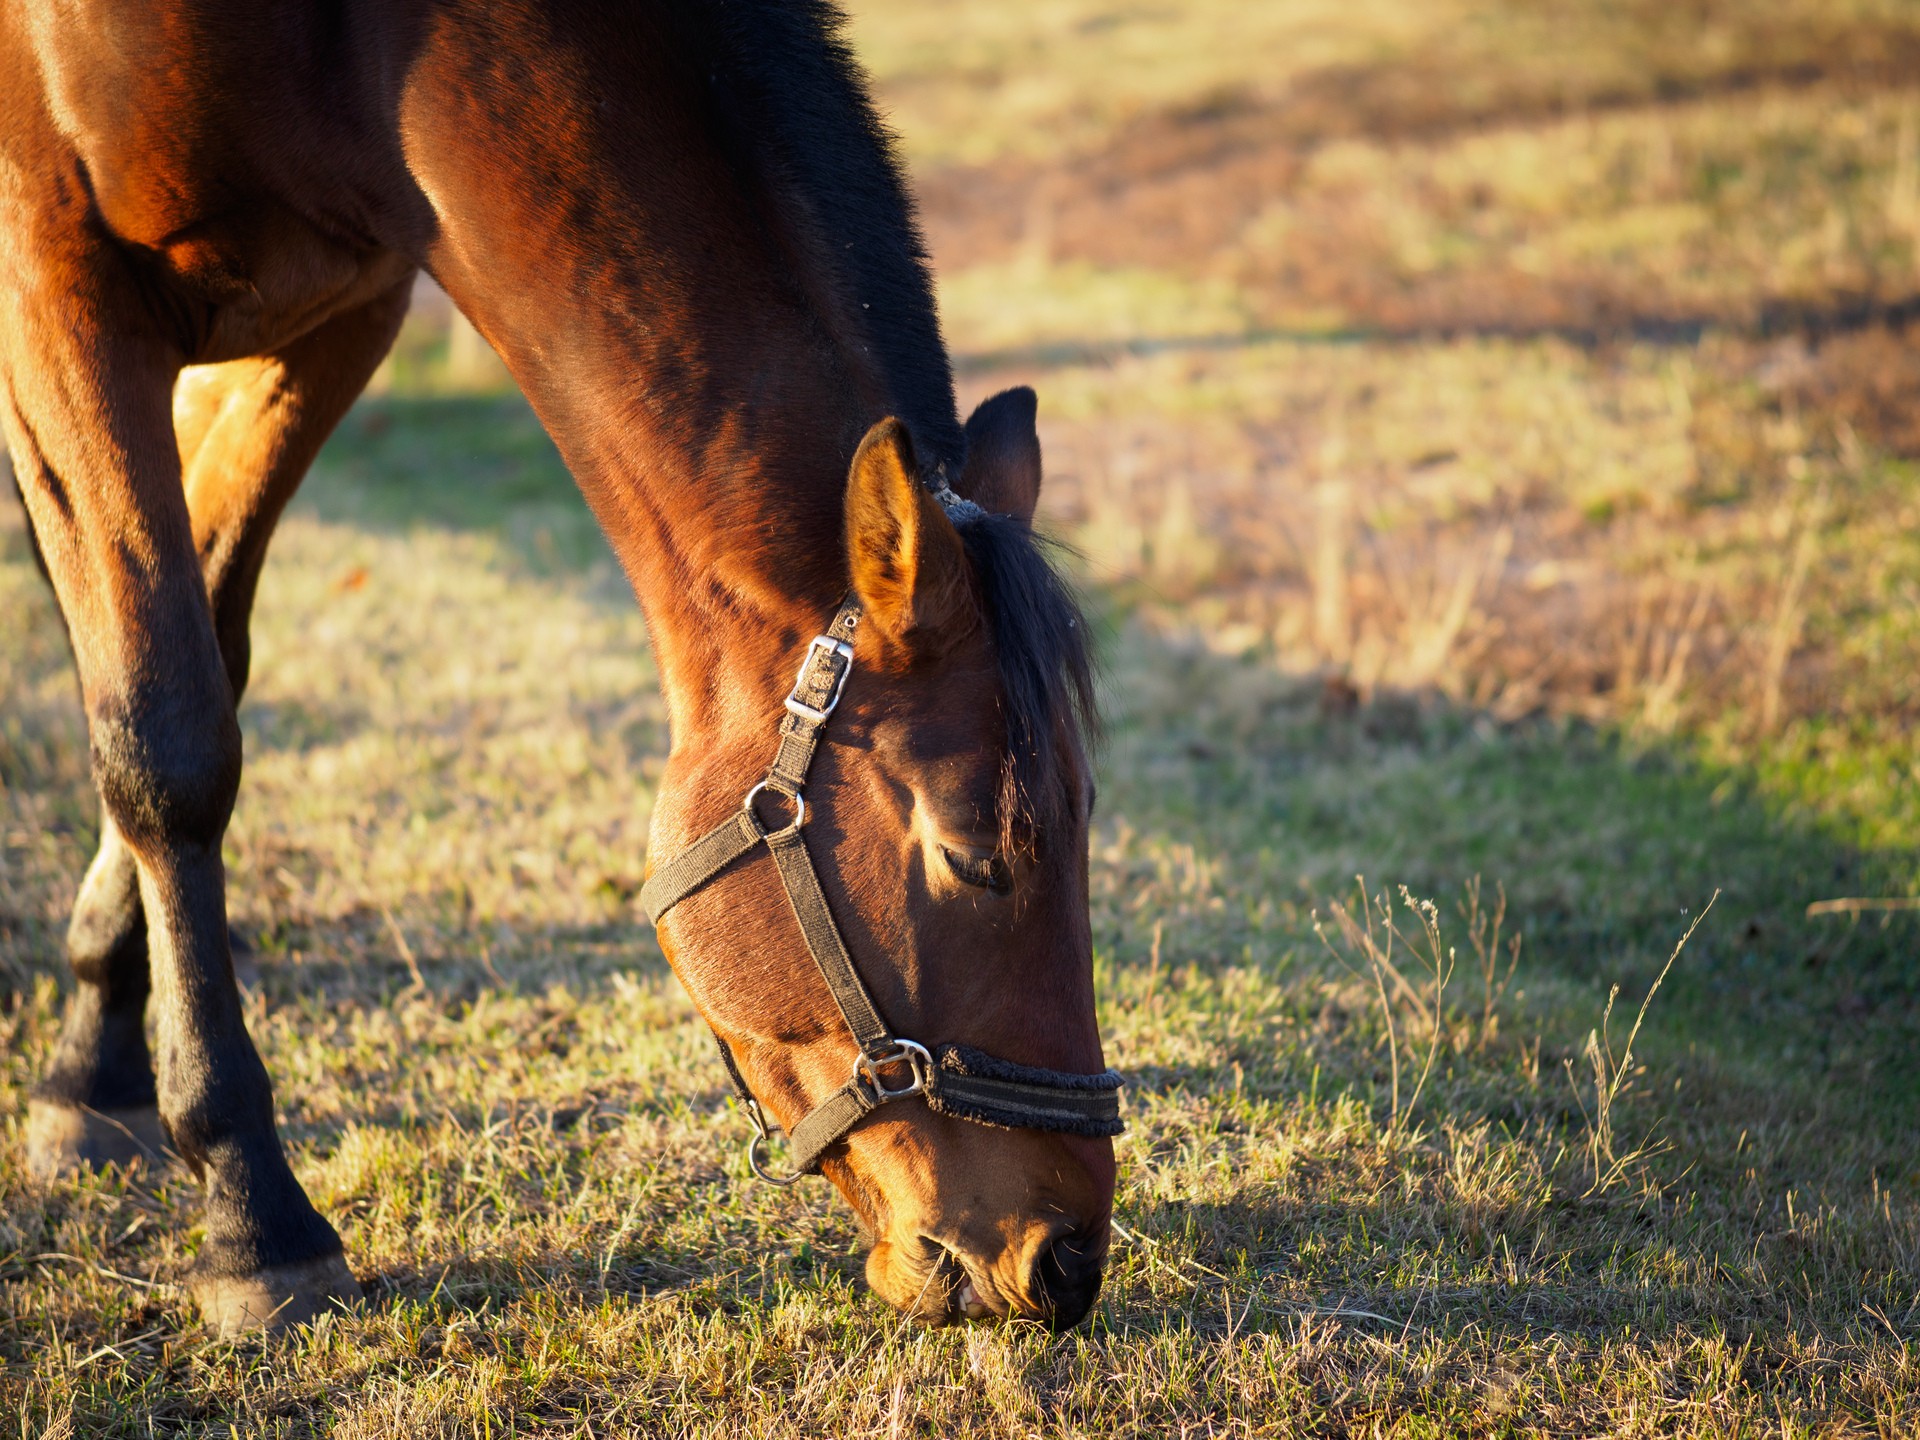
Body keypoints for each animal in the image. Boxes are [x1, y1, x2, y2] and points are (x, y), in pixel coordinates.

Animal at [0, 0, 1121, 1336]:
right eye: (973, 858)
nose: (1066, 1258)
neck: (373, 46)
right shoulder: (55, 286)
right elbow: (162, 734)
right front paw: (250, 1214)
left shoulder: (337, 313)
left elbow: (201, 650)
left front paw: (95, 1055)